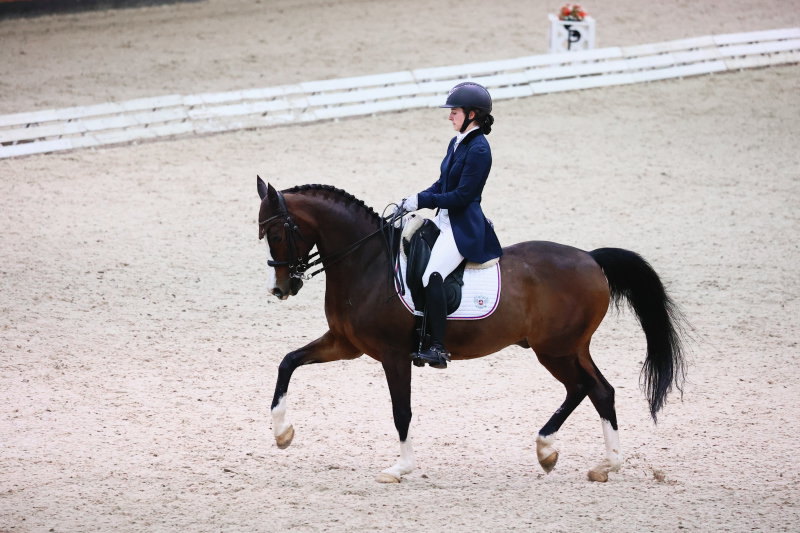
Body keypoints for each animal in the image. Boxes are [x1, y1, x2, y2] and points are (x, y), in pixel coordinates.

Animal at [258, 178, 688, 482]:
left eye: (276, 233)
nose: (282, 288)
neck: (367, 262)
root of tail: (591, 258)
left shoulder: (394, 355)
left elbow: (401, 410)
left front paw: (400, 468)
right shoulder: (345, 344)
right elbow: (287, 362)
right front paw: (282, 433)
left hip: (555, 348)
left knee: (585, 388)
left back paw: (554, 451)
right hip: (570, 347)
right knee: (598, 390)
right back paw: (597, 463)